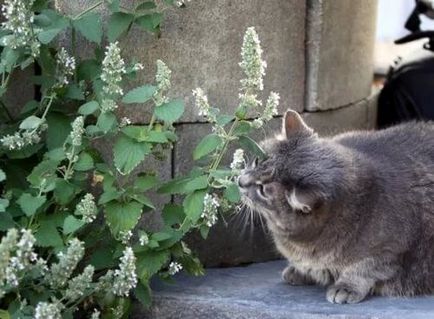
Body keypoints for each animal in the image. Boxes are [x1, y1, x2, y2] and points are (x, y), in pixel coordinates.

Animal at [239, 110, 434, 304]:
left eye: (262, 190)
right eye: (256, 161)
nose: (240, 181)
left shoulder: (389, 250)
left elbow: (364, 269)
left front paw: (346, 286)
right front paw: (302, 271)